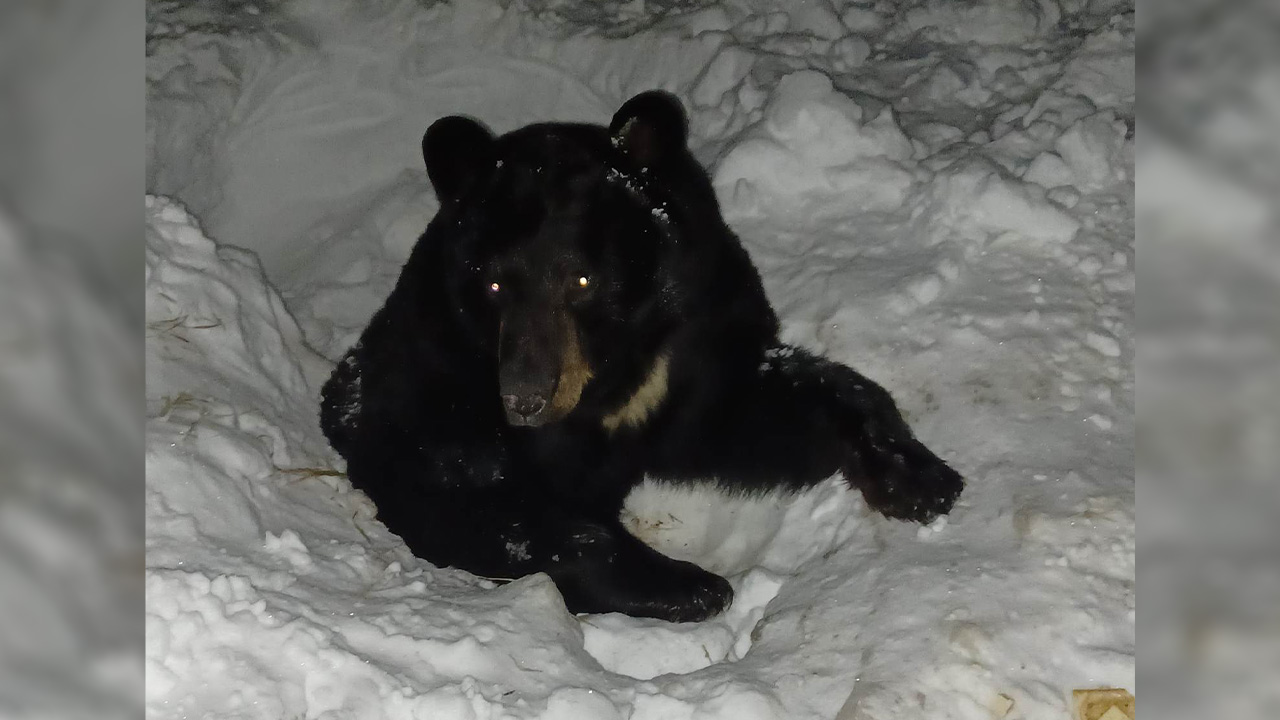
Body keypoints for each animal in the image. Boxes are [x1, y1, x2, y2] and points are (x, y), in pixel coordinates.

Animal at [320, 91, 963, 623]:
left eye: (582, 280)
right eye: (494, 284)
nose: (525, 400)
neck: (612, 371)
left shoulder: (698, 337)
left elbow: (766, 406)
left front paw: (921, 479)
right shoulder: (444, 370)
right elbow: (463, 489)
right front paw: (688, 585)